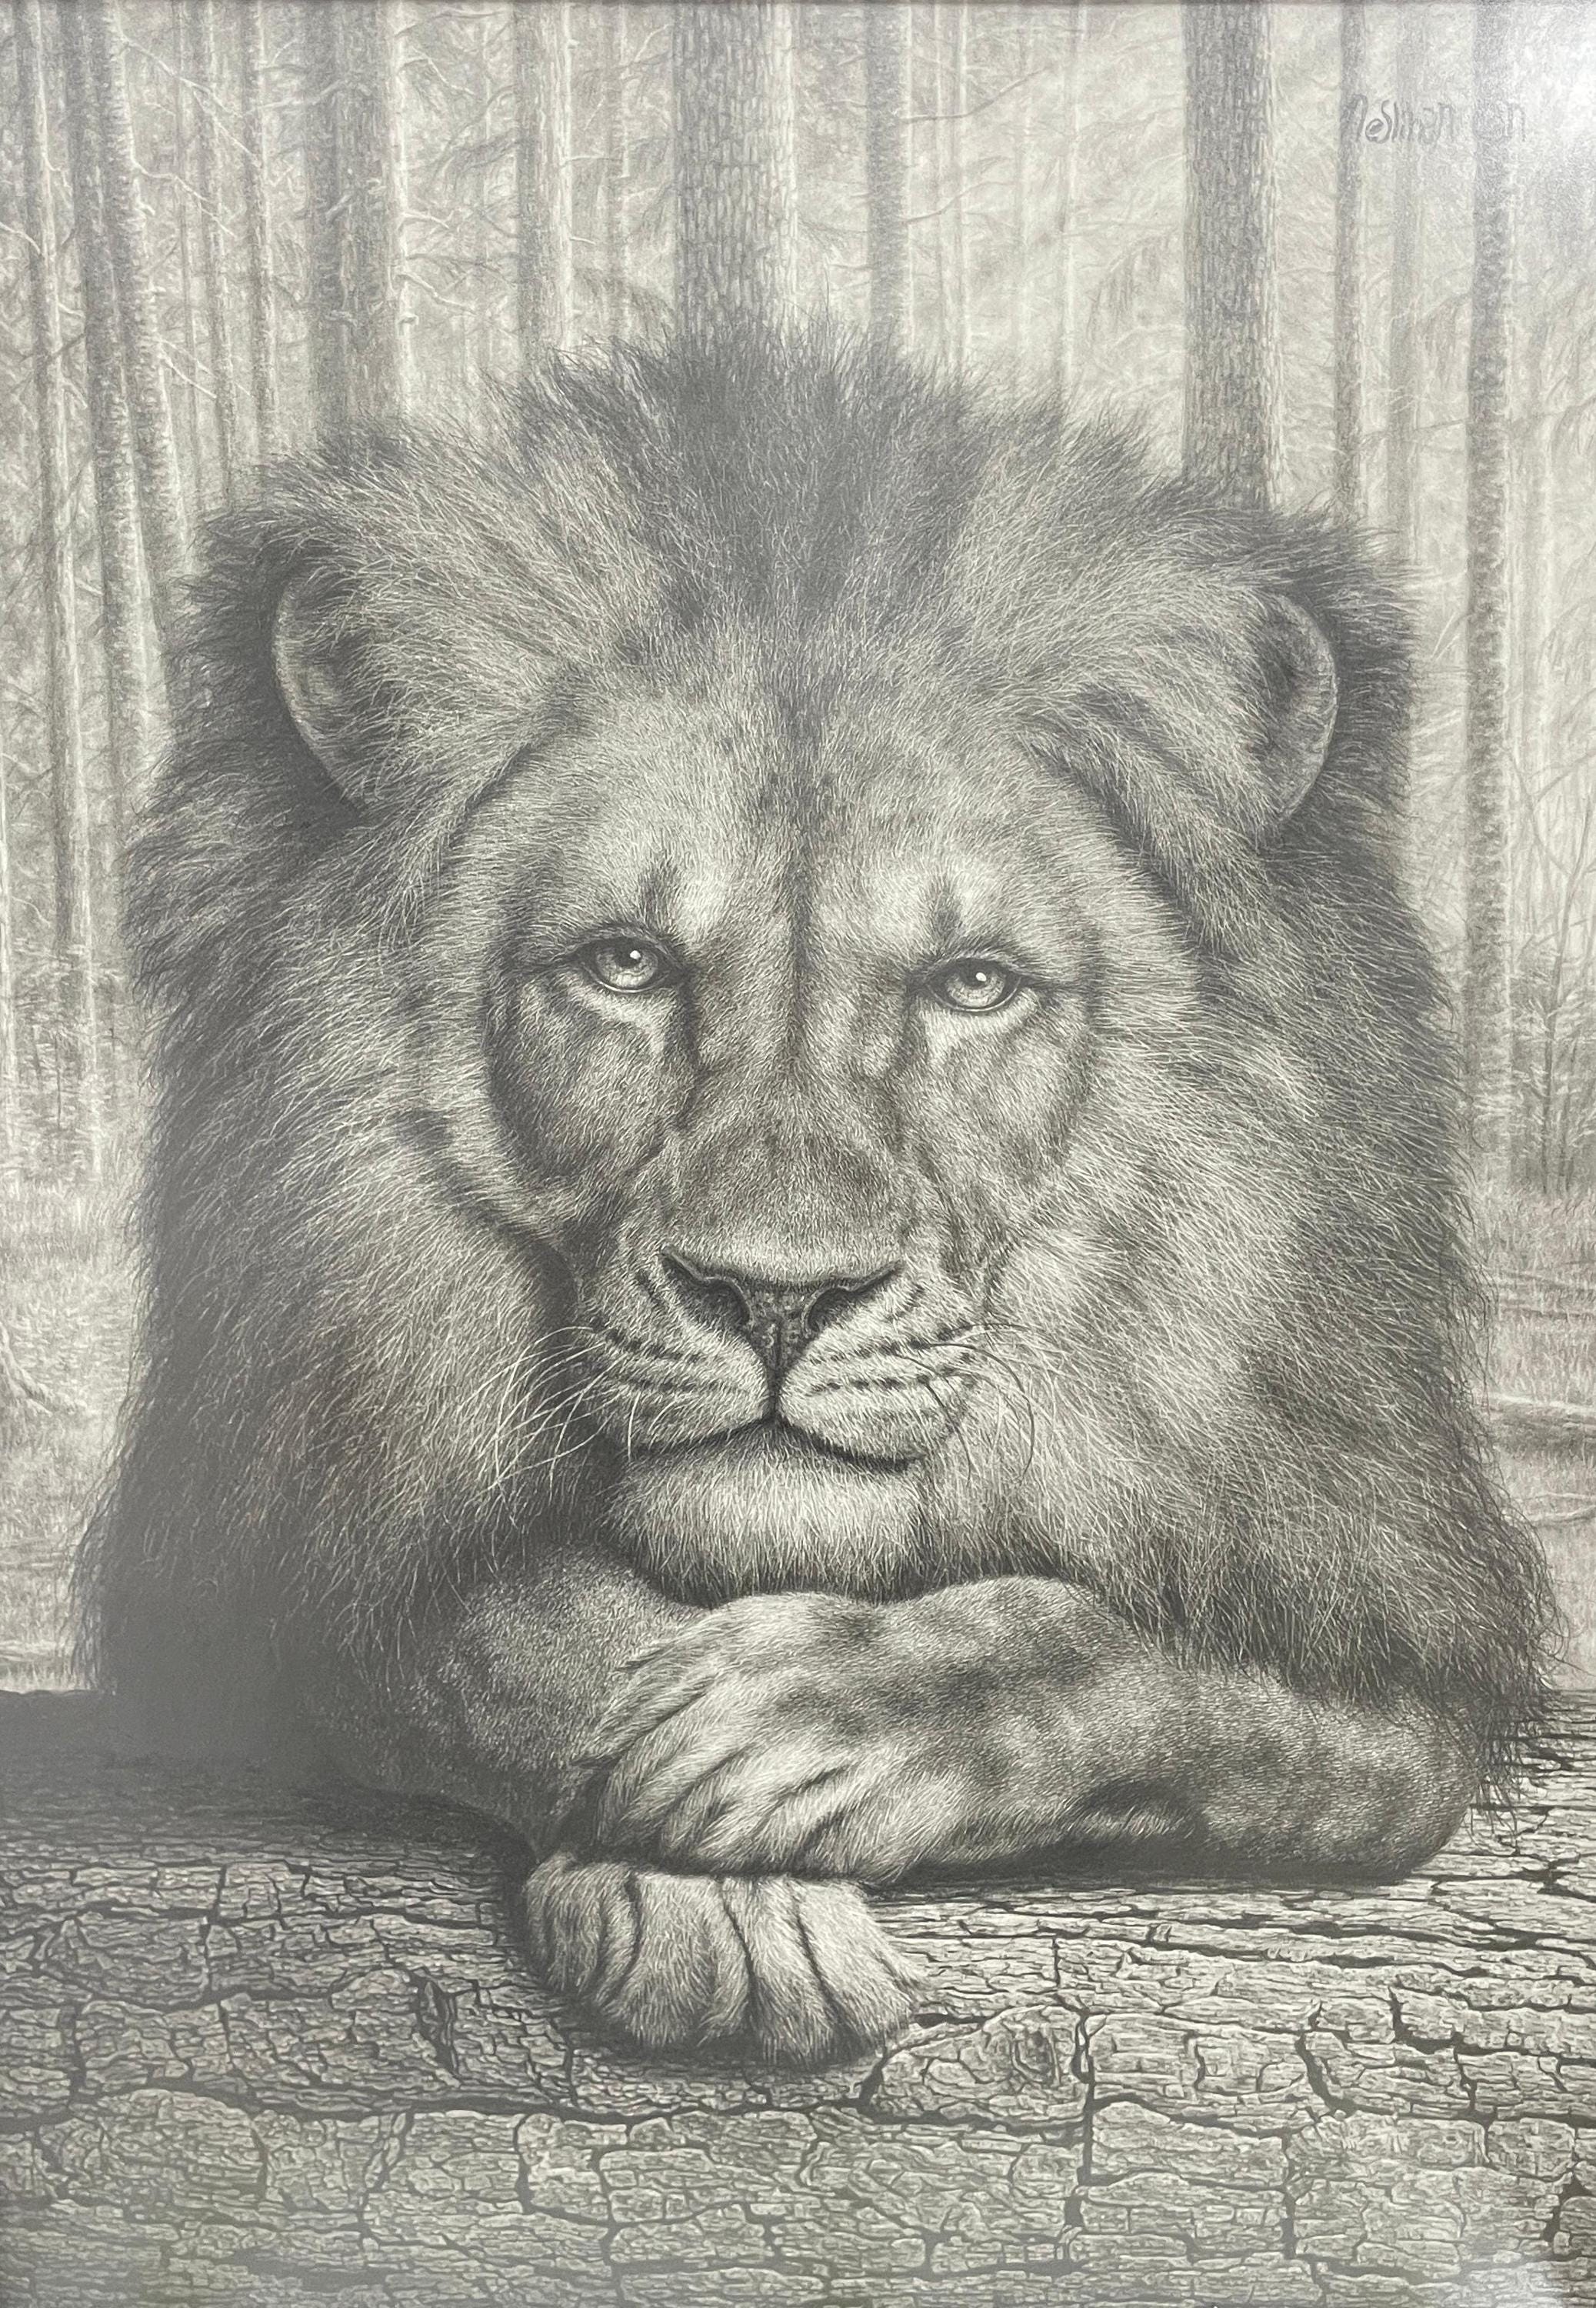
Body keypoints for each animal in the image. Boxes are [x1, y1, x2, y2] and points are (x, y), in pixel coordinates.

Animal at [82, 333, 1553, 2066]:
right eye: (625, 965)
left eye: (972, 985)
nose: (776, 1301)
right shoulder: (241, 1596)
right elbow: (487, 1635)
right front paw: (709, 1886)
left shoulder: (1396, 1684)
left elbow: (1109, 1659)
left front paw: (801, 1725)